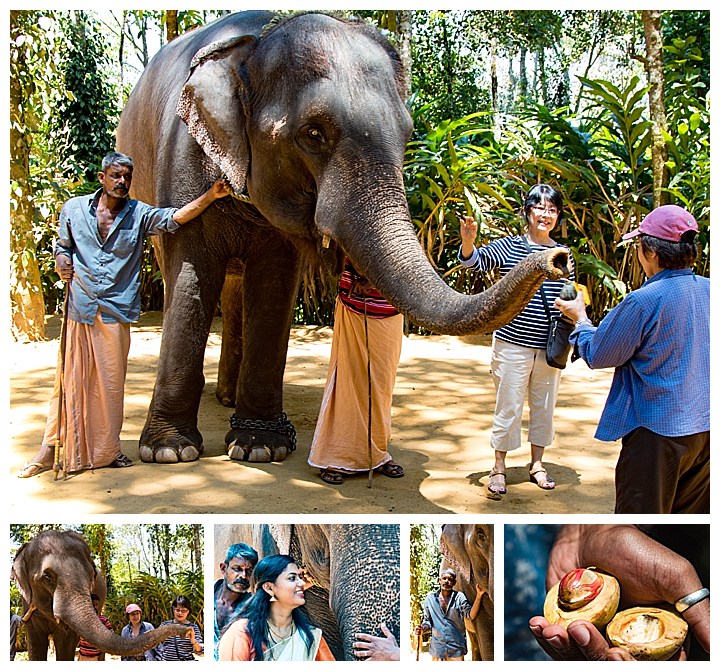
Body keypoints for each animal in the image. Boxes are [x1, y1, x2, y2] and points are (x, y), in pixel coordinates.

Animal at [10, 532, 190, 660]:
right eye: (47, 577)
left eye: (92, 575)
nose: (187, 631)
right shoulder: (28, 604)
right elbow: (35, 645)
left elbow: (65, 642)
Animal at [116, 10, 568, 464]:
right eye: (313, 133)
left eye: (407, 135)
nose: (559, 258)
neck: (256, 41)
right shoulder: (181, 162)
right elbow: (190, 279)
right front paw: (169, 451)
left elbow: (274, 286)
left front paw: (260, 447)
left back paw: (228, 398)